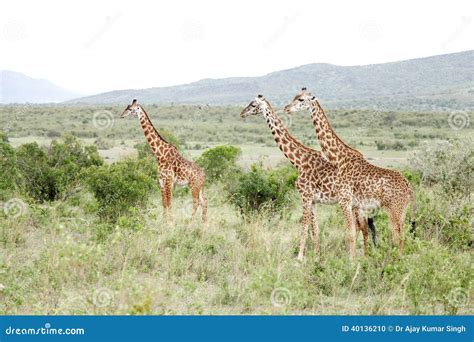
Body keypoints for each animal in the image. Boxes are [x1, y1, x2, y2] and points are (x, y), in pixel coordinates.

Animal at [243, 95, 376, 260]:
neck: (299, 161)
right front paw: (317, 256)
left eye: (252, 104)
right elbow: (315, 228)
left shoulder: (305, 196)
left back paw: (360, 256)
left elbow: (304, 226)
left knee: (361, 226)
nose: (242, 113)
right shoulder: (313, 201)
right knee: (362, 226)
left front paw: (300, 257)